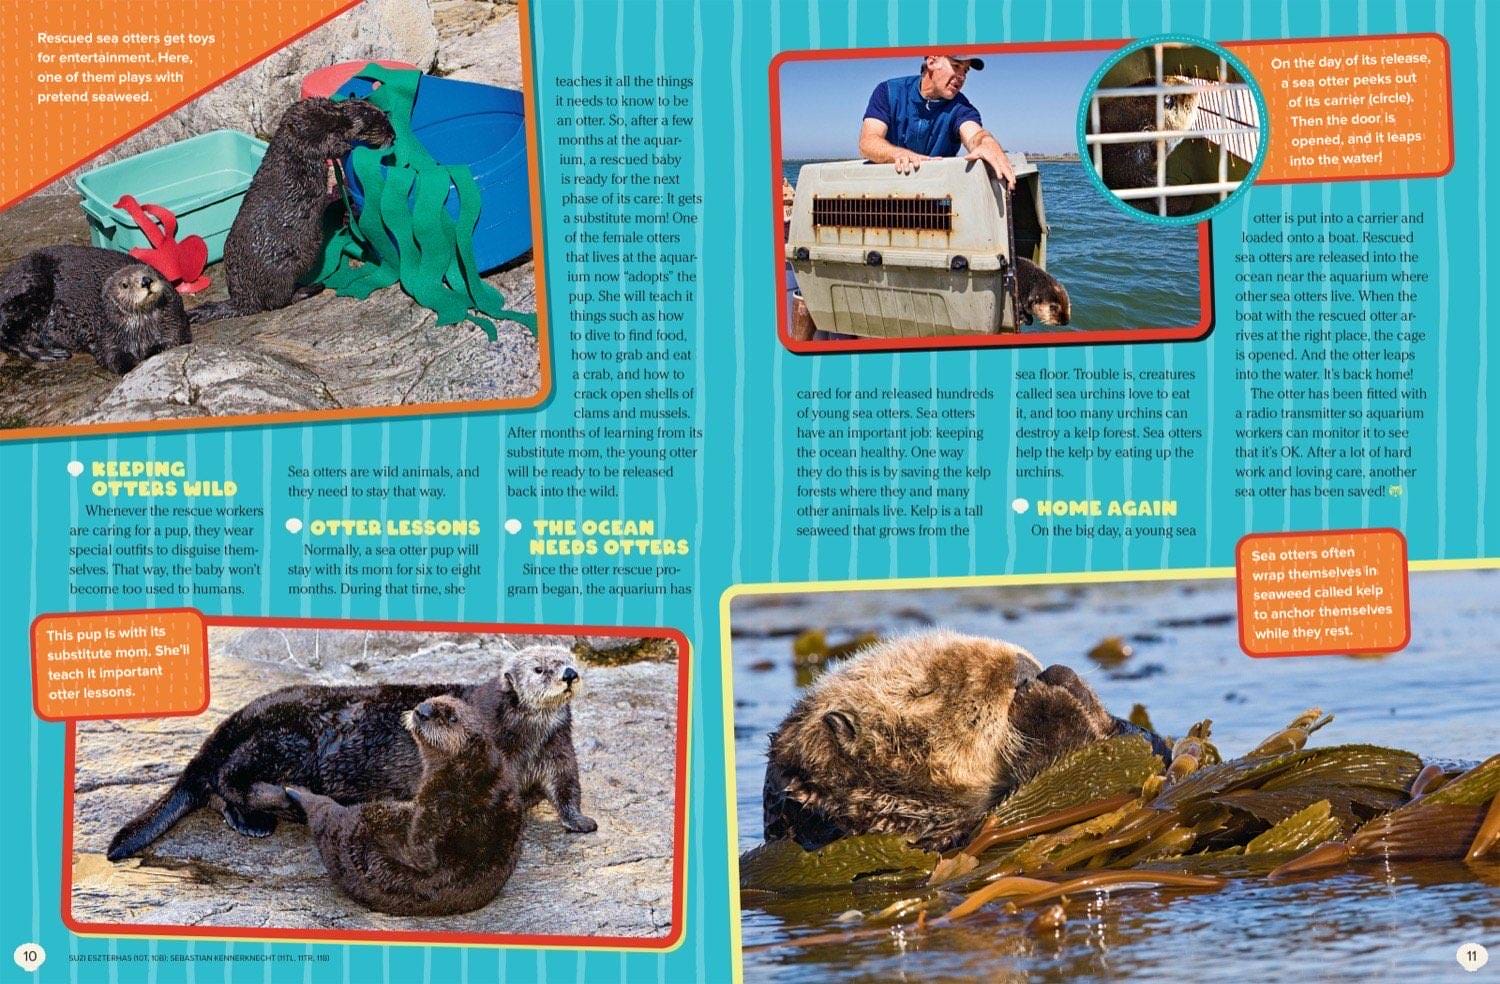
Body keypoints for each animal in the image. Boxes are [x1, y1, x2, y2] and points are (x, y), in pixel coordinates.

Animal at [0, 245, 189, 374]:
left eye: (150, 272)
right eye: (125, 284)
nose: (146, 281)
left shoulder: (173, 321)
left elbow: (173, 341)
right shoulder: (105, 336)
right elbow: (109, 355)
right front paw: (132, 363)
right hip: (30, 290)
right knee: (7, 335)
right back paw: (50, 353)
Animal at [106, 646, 595, 862]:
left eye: (569, 657)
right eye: (540, 669)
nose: (569, 674)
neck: (523, 740)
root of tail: (231, 723)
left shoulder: (557, 752)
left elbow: (567, 789)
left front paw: (581, 822)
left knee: (216, 788)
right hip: (286, 739)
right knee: (227, 780)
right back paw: (274, 808)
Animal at [188, 97, 394, 324]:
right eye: (380, 123)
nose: (393, 135)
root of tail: (242, 299)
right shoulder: (308, 136)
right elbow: (330, 146)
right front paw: (346, 145)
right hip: (281, 275)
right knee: (277, 301)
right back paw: (310, 288)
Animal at [286, 694, 523, 916]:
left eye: (451, 717)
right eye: (429, 700)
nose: (422, 711)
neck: (468, 771)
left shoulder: (441, 798)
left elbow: (422, 845)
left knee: (322, 809)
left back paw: (294, 790)